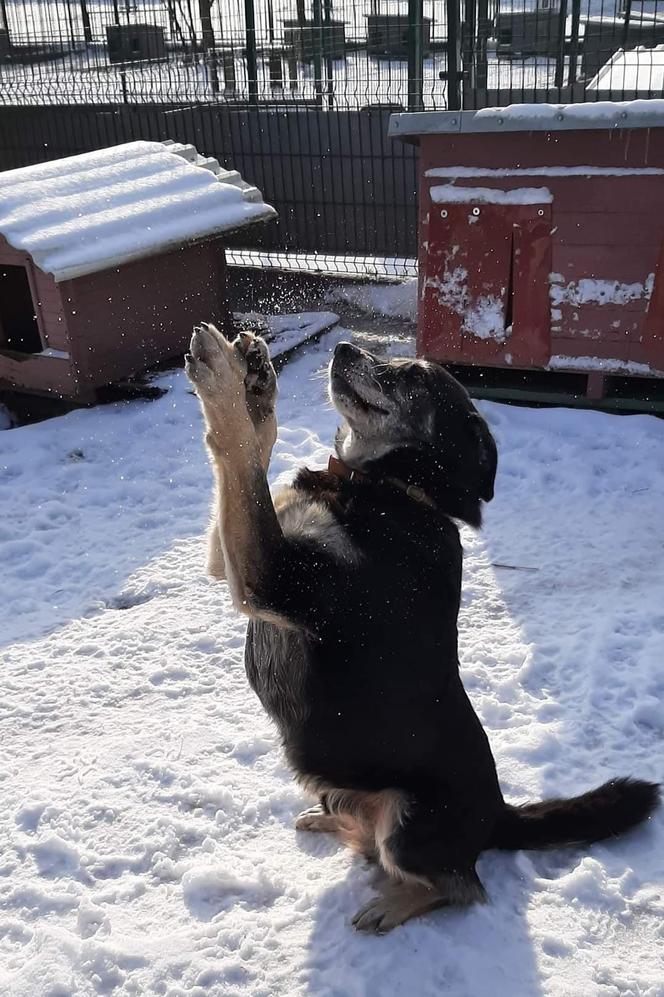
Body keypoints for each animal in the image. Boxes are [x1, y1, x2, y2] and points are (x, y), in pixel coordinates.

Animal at [185, 326, 660, 932]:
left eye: (411, 375)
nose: (343, 348)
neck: (391, 489)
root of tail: (497, 815)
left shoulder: (273, 581)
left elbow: (238, 455)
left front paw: (222, 379)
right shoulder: (238, 567)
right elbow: (252, 456)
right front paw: (255, 383)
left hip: (409, 821)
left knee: (460, 886)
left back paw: (390, 905)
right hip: (354, 797)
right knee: (371, 840)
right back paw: (326, 821)